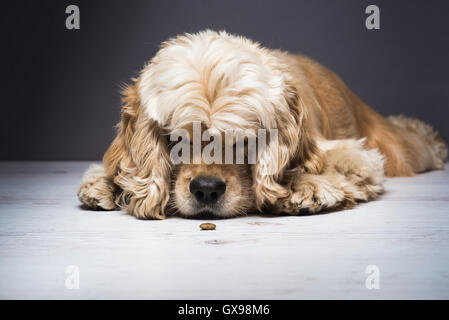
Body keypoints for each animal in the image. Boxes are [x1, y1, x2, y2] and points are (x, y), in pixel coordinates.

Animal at [77, 30, 444, 219]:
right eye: (177, 141)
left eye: (244, 142)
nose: (206, 189)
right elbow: (123, 167)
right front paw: (106, 183)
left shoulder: (358, 156)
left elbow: (335, 168)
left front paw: (305, 186)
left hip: (399, 149)